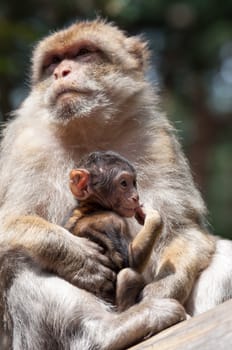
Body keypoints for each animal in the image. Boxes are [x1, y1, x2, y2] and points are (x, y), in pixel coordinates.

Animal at [64, 152, 162, 310]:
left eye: (134, 183)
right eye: (124, 183)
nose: (136, 197)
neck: (93, 207)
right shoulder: (114, 221)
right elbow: (131, 261)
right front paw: (153, 216)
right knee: (128, 275)